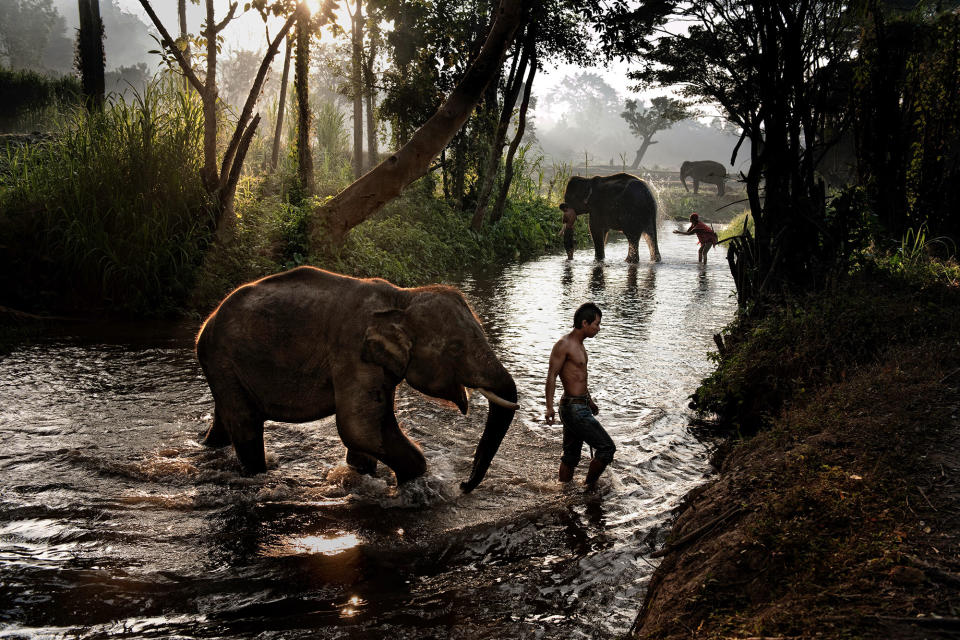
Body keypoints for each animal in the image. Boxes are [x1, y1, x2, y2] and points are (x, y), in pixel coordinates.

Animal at [196, 268, 520, 492]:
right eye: (455, 348)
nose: (464, 486)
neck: (402, 297)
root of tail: (207, 322)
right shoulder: (351, 350)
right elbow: (359, 427)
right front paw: (414, 480)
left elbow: (369, 428)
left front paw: (362, 474)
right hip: (222, 360)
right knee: (246, 423)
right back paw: (257, 474)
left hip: (225, 368)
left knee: (227, 419)